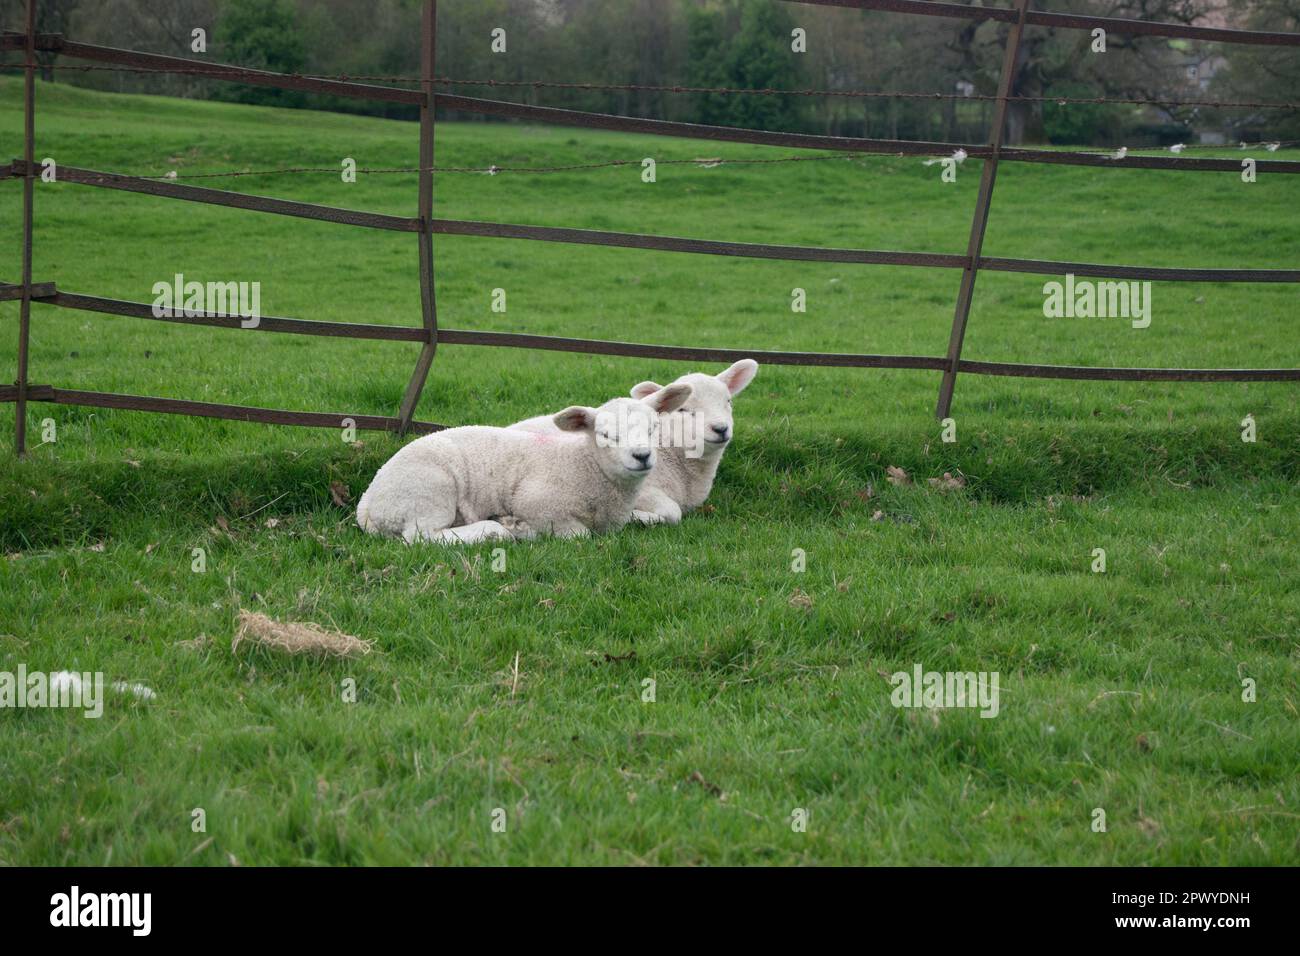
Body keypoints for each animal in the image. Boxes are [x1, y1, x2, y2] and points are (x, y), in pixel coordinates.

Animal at [351, 382, 696, 546]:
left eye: (653, 428)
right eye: (606, 435)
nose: (642, 456)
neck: (583, 466)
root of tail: (368, 501)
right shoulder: (538, 502)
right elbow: (579, 535)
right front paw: (521, 528)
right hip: (429, 491)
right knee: (421, 537)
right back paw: (496, 529)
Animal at [504, 358, 754, 528]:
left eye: (728, 401)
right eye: (683, 409)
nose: (720, 428)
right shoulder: (643, 490)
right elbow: (673, 512)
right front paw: (639, 518)